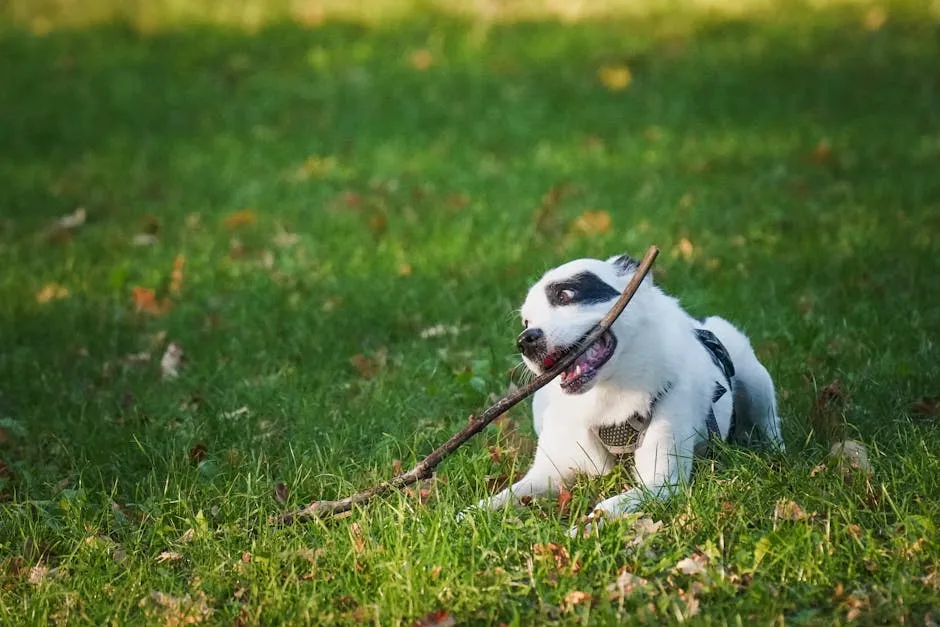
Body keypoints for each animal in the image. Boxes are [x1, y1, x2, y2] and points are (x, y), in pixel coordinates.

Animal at [466, 253, 784, 536]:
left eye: (566, 295)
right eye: (525, 322)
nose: (525, 341)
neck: (605, 395)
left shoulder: (661, 484)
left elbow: (606, 508)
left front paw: (576, 534)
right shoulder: (547, 473)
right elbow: (502, 497)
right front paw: (465, 517)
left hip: (756, 379)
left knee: (770, 424)